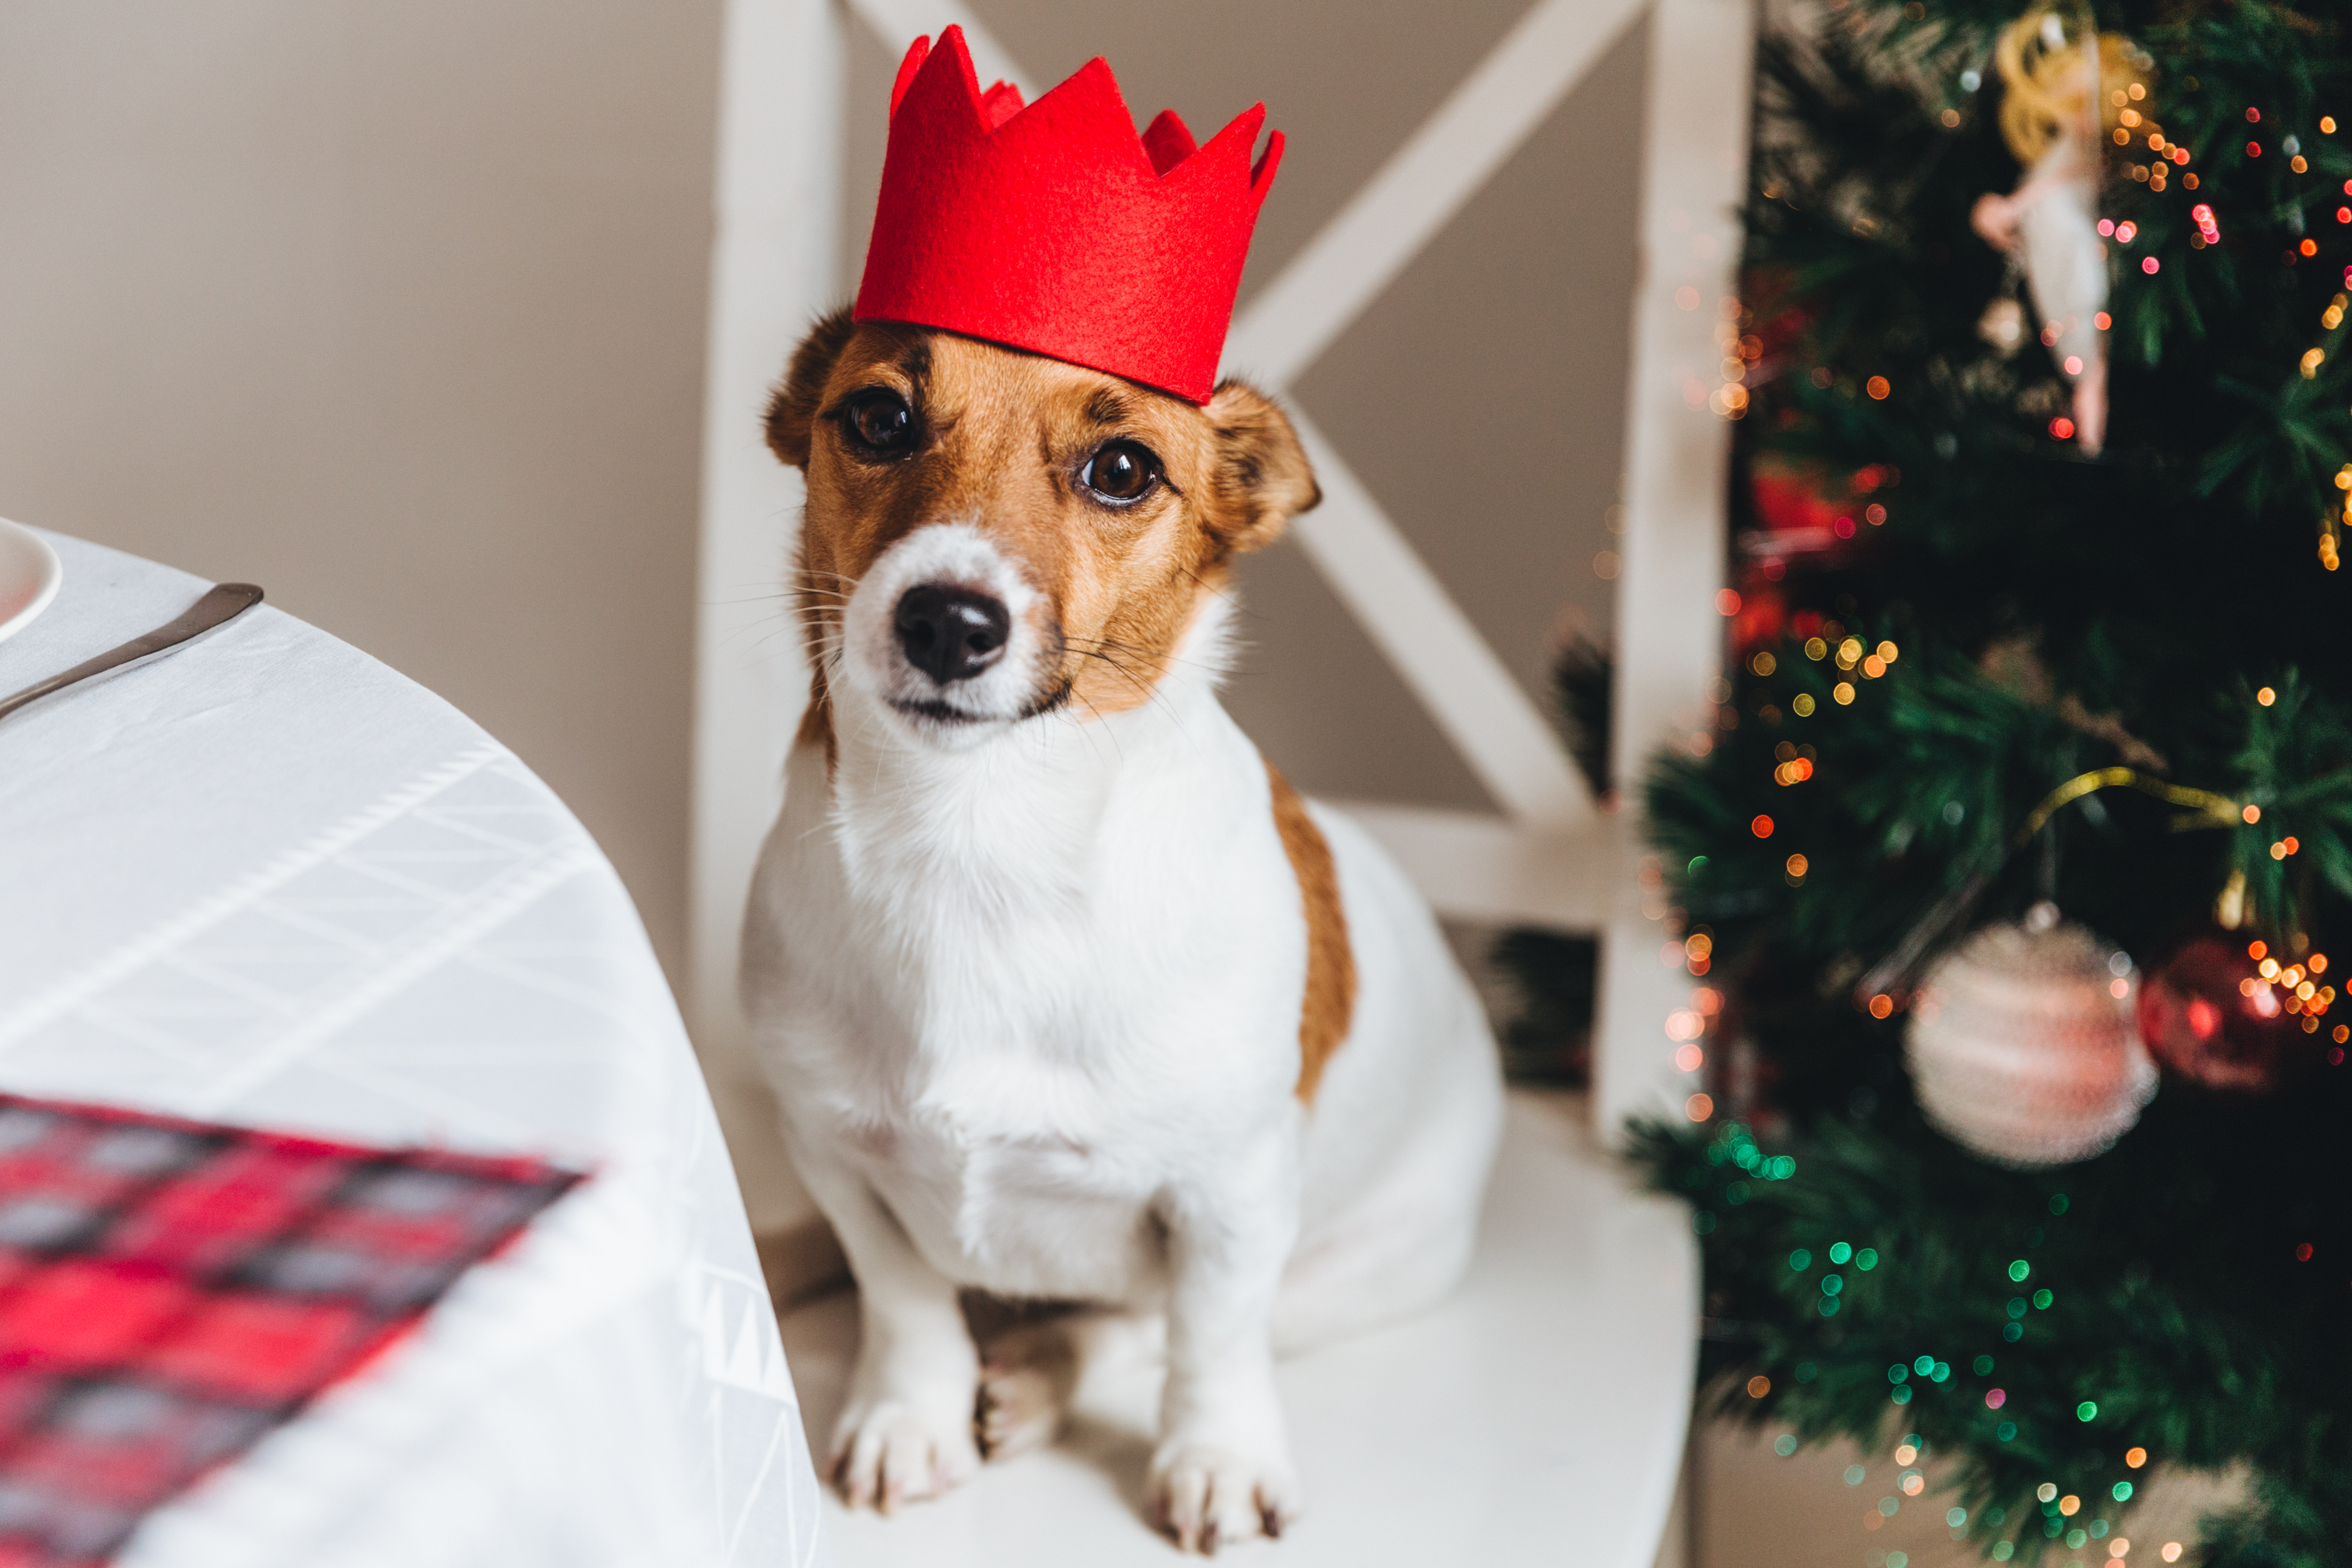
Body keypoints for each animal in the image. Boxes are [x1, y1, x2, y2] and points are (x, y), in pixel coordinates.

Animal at [743, 312, 1496, 1552]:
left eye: (1124, 469)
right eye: (879, 416)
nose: (947, 620)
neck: (978, 833)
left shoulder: (1230, 1197)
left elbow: (1209, 1336)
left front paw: (1218, 1456)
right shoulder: (832, 1151)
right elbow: (904, 1299)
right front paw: (912, 1417)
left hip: (1366, 1263)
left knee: (1146, 1323)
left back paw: (1042, 1369)